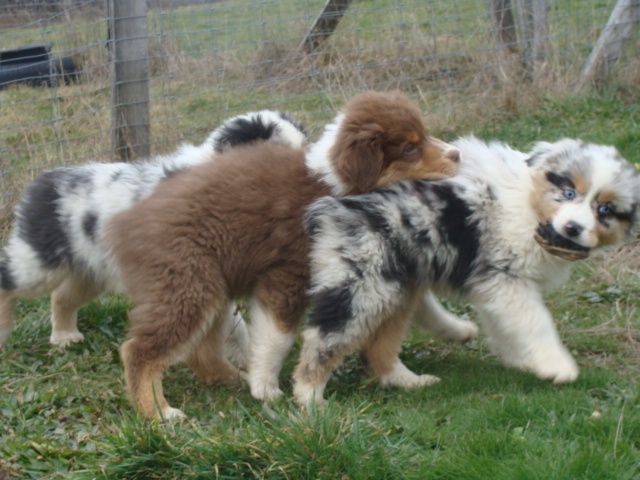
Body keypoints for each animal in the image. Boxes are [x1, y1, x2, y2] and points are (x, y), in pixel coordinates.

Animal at [0, 110, 307, 361]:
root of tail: (42, 180)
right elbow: (237, 328)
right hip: (39, 262)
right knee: (9, 279)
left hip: (91, 269)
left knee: (61, 296)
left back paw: (64, 338)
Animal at [106, 90, 461, 419]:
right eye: (410, 148)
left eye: (424, 134)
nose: (457, 154)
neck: (335, 182)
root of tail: (123, 225)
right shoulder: (286, 275)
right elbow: (277, 337)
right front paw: (266, 388)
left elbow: (390, 337)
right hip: (187, 285)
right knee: (139, 351)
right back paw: (158, 412)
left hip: (209, 286)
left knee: (199, 351)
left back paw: (232, 378)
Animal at [293, 136, 640, 406]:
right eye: (569, 193)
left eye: (605, 210)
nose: (573, 228)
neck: (529, 205)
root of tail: (330, 208)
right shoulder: (505, 276)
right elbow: (536, 321)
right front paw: (556, 365)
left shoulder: (494, 285)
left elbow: (507, 325)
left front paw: (519, 358)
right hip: (362, 284)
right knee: (323, 337)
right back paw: (310, 399)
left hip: (393, 283)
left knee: (379, 347)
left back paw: (410, 380)